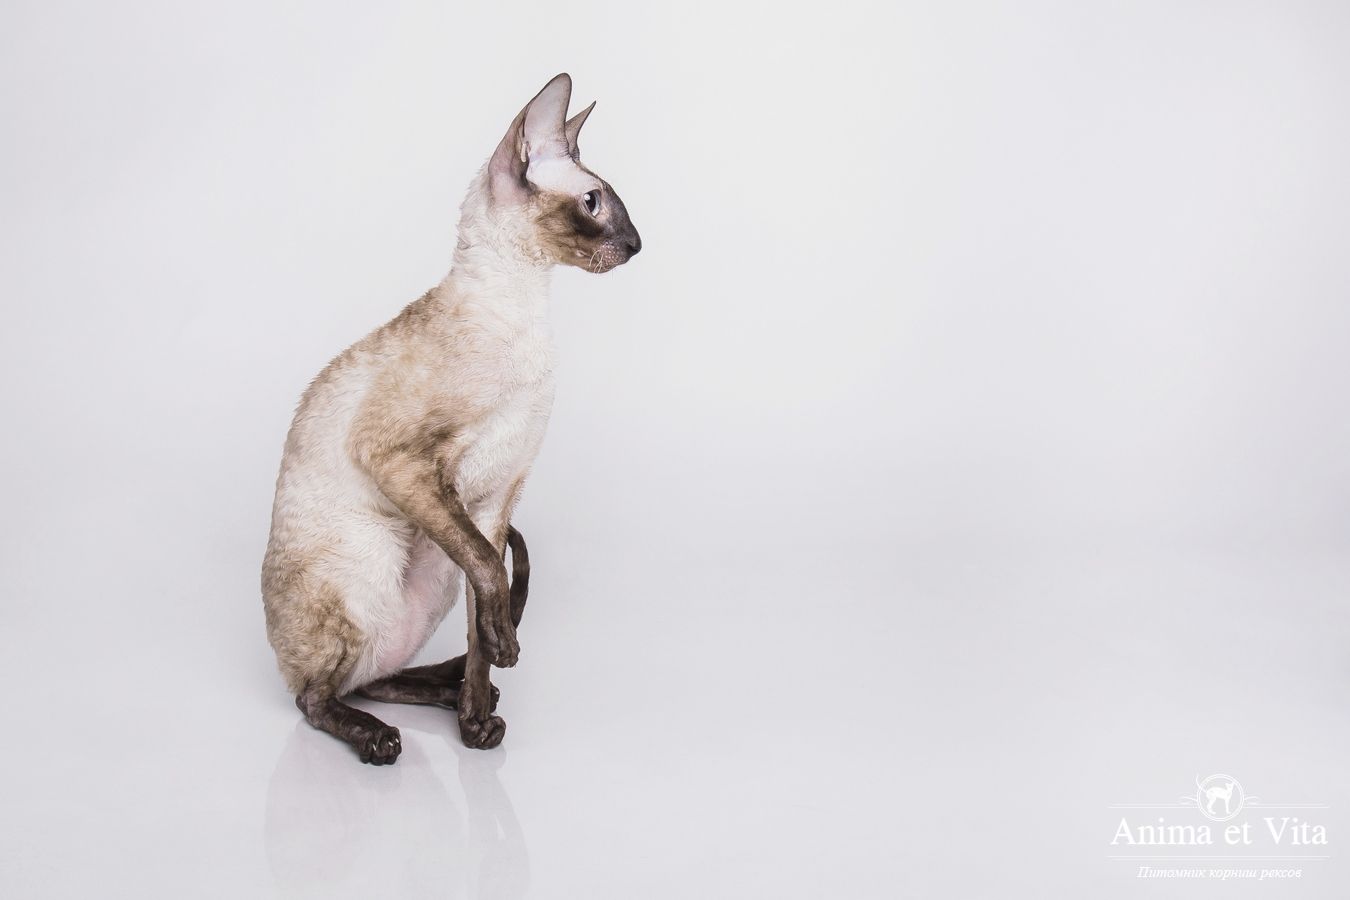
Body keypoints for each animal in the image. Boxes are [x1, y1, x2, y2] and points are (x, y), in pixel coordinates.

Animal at [262, 74, 640, 763]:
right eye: (594, 203)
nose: (636, 244)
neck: (526, 309)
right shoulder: (400, 461)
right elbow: (491, 575)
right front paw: (502, 652)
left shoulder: (492, 502)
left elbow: (483, 606)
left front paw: (476, 722)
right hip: (372, 557)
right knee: (314, 697)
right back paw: (377, 739)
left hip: (432, 569)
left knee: (373, 675)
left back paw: (453, 699)